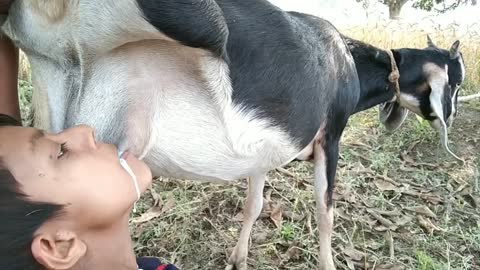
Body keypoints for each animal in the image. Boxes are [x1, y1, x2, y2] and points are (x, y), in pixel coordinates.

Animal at [0, 1, 464, 268]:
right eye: (456, 80)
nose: (456, 113)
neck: (345, 60)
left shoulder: (261, 154)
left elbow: (254, 206)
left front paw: (238, 260)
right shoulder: (330, 136)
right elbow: (325, 211)